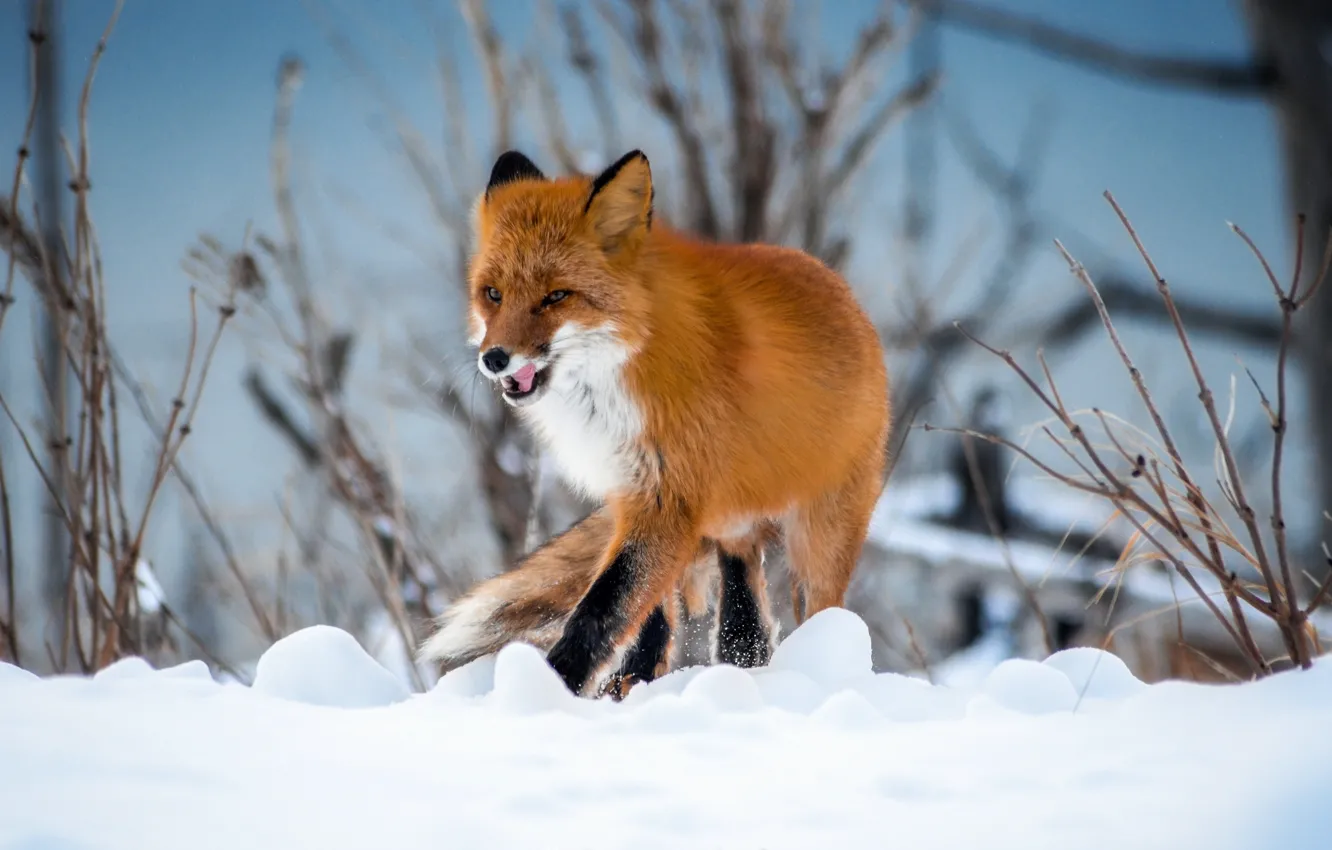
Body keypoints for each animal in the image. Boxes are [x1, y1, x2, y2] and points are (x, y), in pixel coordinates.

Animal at [418, 148, 891, 697]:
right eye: (492, 294)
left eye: (556, 297)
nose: (494, 359)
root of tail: (844, 291)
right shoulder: (635, 497)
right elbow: (640, 618)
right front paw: (617, 691)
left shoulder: (666, 501)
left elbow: (601, 609)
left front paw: (549, 690)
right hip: (732, 527)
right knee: (742, 626)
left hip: (819, 541)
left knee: (823, 617)